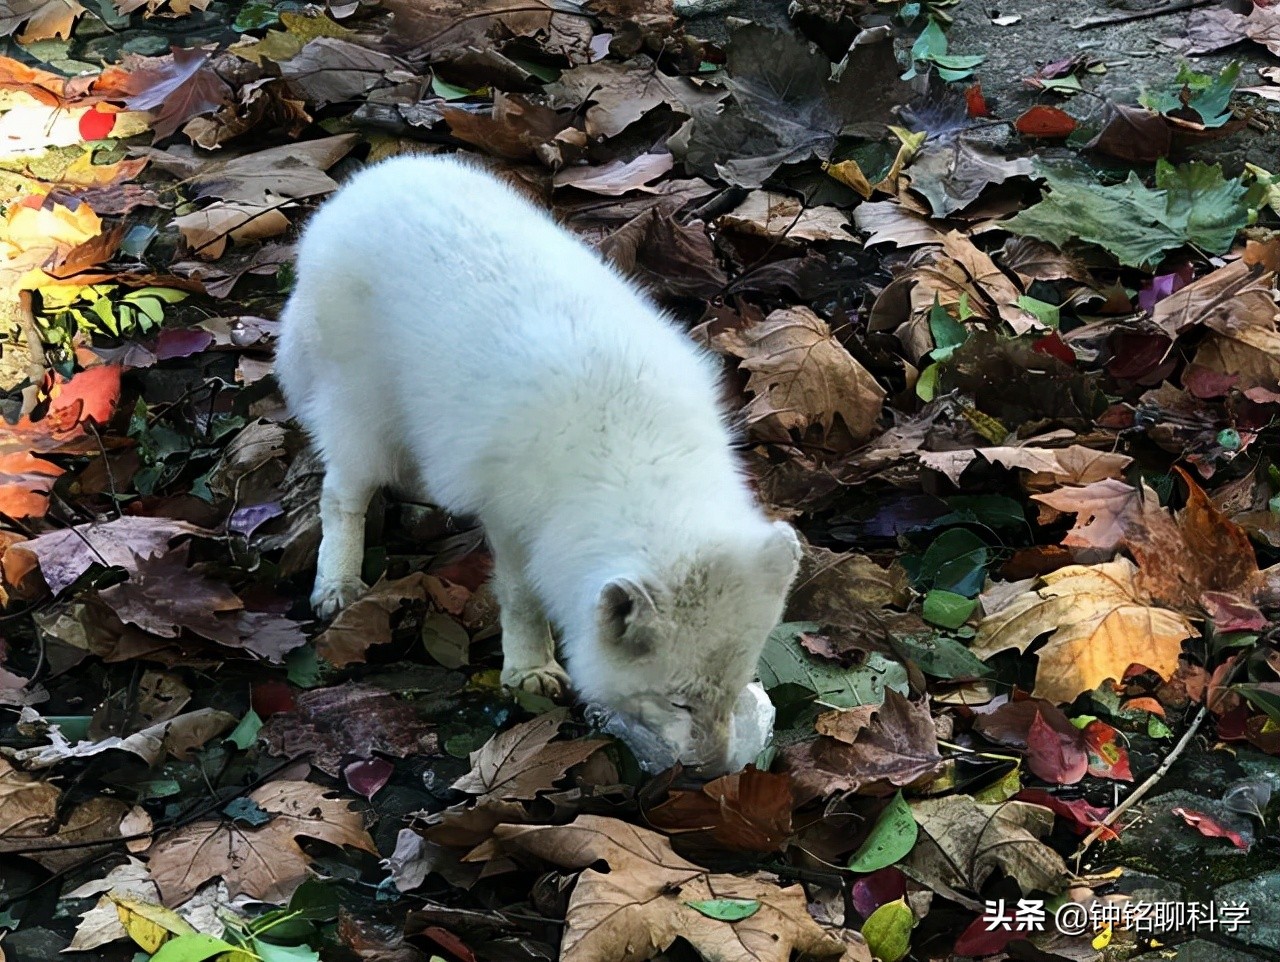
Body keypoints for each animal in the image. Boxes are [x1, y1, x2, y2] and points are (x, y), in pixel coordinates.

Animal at [276, 157, 798, 772]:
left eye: (736, 689)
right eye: (678, 703)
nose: (714, 772)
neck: (634, 451)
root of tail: (353, 191)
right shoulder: (513, 517)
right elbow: (522, 596)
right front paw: (529, 668)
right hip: (362, 418)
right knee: (340, 495)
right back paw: (337, 580)